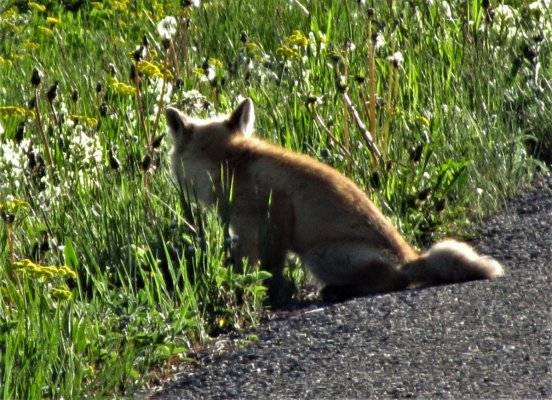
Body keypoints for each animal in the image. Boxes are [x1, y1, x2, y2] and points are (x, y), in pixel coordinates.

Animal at [166, 99, 506, 306]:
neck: (232, 162)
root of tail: (410, 255)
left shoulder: (273, 216)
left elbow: (267, 269)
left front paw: (264, 297)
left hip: (318, 255)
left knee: (399, 278)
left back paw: (338, 291)